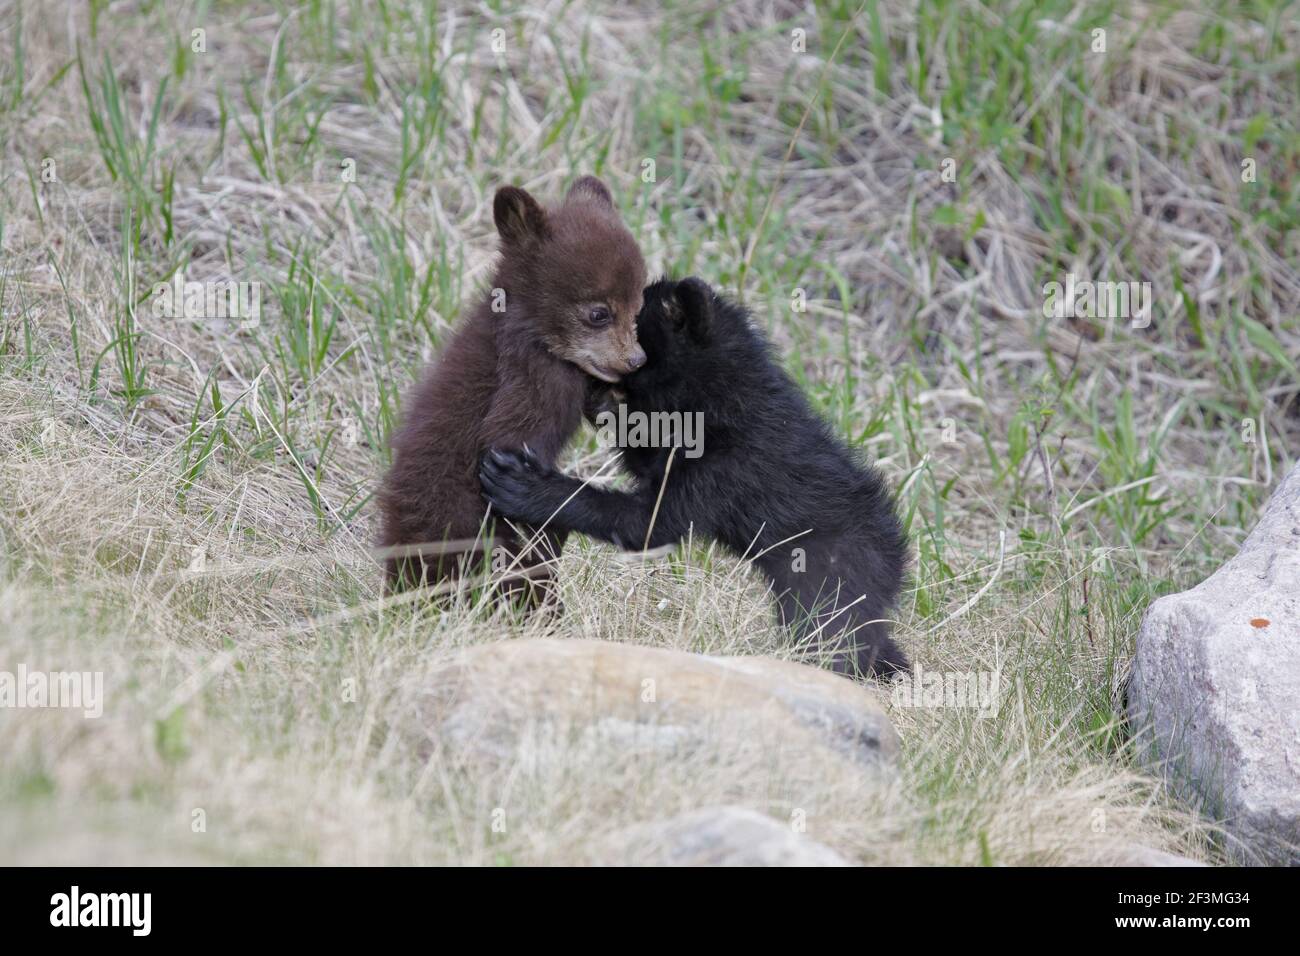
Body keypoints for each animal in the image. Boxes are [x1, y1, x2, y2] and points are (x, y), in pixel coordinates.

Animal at [378, 176, 647, 604]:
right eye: (599, 313)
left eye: (637, 308)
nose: (636, 360)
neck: (530, 329)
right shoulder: (530, 375)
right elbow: (506, 436)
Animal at [478, 276, 909, 677]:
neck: (721, 399)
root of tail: (898, 555)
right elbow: (646, 457)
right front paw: (602, 402)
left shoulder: (725, 469)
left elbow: (649, 522)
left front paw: (520, 482)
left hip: (835, 569)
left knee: (831, 632)